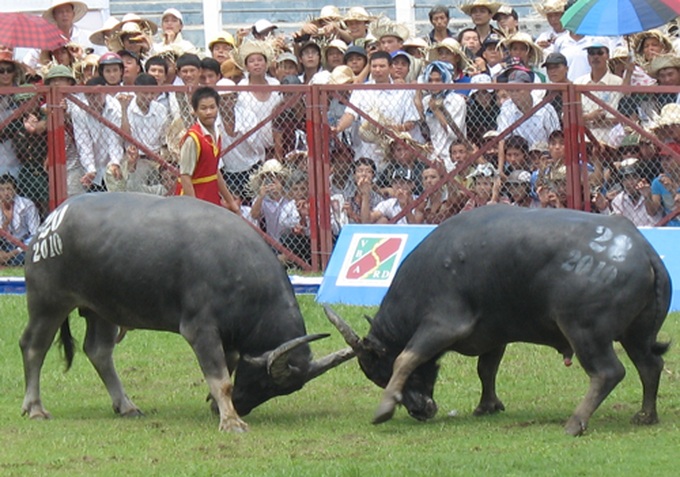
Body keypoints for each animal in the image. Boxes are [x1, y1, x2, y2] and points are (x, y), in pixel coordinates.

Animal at [325, 205, 671, 435]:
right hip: (636, 334)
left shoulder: (441, 325)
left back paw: (575, 422)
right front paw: (487, 405)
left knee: (608, 372)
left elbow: (408, 358)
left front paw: (384, 408)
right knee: (649, 365)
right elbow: (486, 369)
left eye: (380, 374)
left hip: (585, 331)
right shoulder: (495, 334)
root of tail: (643, 250)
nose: (420, 411)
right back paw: (646, 415)